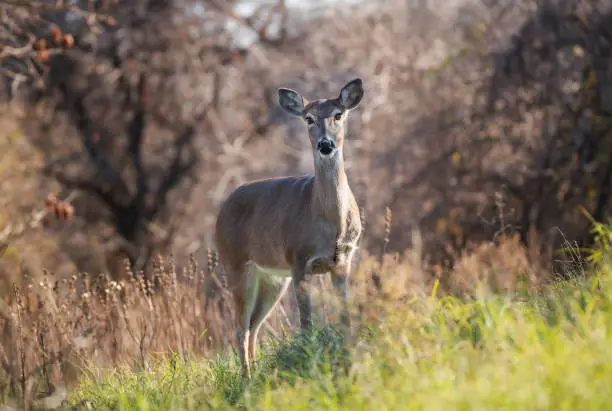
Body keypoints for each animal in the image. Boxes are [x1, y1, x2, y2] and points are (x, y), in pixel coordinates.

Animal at [214, 78, 364, 380]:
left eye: (338, 114)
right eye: (308, 118)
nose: (325, 144)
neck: (330, 224)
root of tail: (221, 211)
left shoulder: (343, 260)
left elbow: (345, 315)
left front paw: (348, 353)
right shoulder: (298, 260)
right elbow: (306, 323)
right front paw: (311, 362)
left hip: (272, 278)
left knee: (254, 326)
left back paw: (255, 372)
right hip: (235, 264)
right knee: (240, 327)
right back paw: (246, 378)